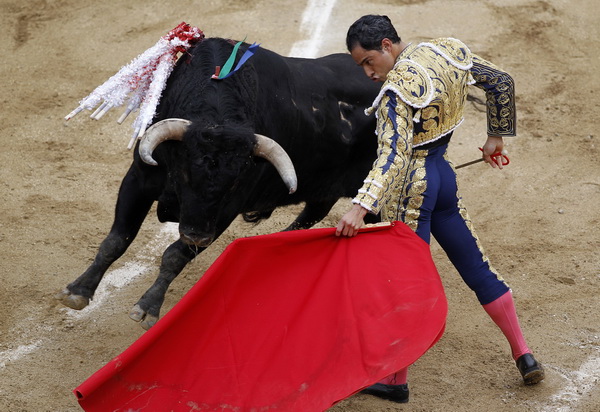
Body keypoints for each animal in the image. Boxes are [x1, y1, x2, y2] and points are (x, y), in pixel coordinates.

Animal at [56, 37, 378, 328]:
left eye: (234, 183)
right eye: (184, 172)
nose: (198, 238)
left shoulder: (225, 211)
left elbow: (174, 255)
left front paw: (148, 308)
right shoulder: (139, 179)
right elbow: (116, 240)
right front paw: (78, 291)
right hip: (323, 190)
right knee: (313, 213)